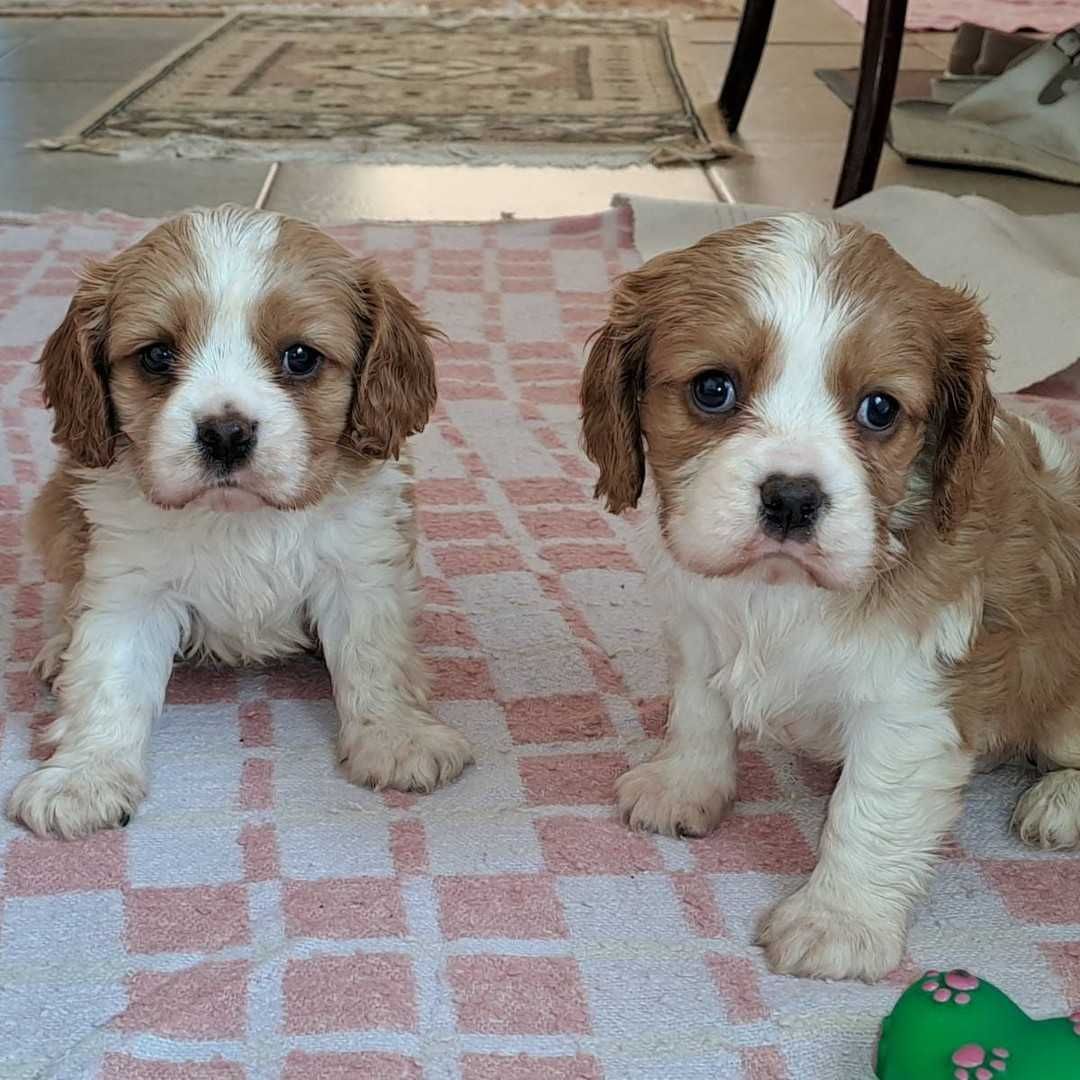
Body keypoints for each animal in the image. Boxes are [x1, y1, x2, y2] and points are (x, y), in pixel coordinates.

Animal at [8, 206, 473, 838]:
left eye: (300, 357)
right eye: (156, 356)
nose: (226, 433)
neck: (241, 518)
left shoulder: (361, 569)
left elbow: (373, 656)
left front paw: (396, 737)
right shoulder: (129, 585)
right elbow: (108, 676)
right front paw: (86, 774)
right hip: (56, 515)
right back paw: (59, 645)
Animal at [587, 214, 1080, 984]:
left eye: (880, 408)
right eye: (713, 389)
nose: (792, 497)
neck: (779, 597)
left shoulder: (911, 703)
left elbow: (869, 811)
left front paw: (837, 920)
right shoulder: (699, 626)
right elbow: (700, 710)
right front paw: (686, 784)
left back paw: (1058, 802)